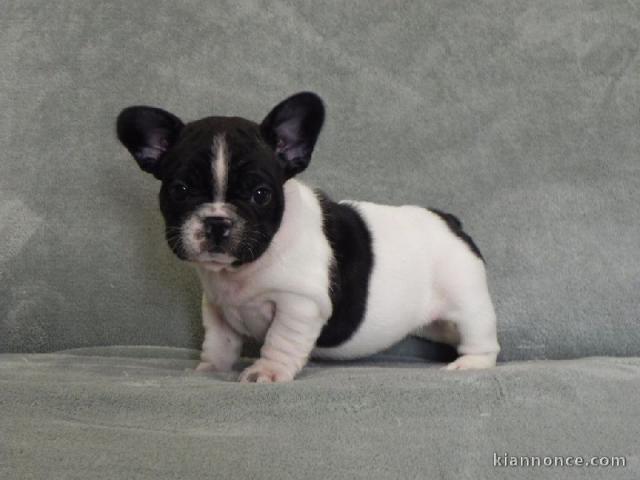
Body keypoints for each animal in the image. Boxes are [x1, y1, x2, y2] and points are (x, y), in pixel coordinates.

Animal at [117, 91, 502, 382]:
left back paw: (470, 364)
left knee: (479, 335)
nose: (216, 221)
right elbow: (220, 342)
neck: (242, 269)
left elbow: (280, 340)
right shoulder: (217, 308)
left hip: (466, 301)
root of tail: (448, 220)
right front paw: (211, 369)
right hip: (438, 321)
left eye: (260, 194)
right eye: (180, 191)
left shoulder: (298, 304)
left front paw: (267, 371)